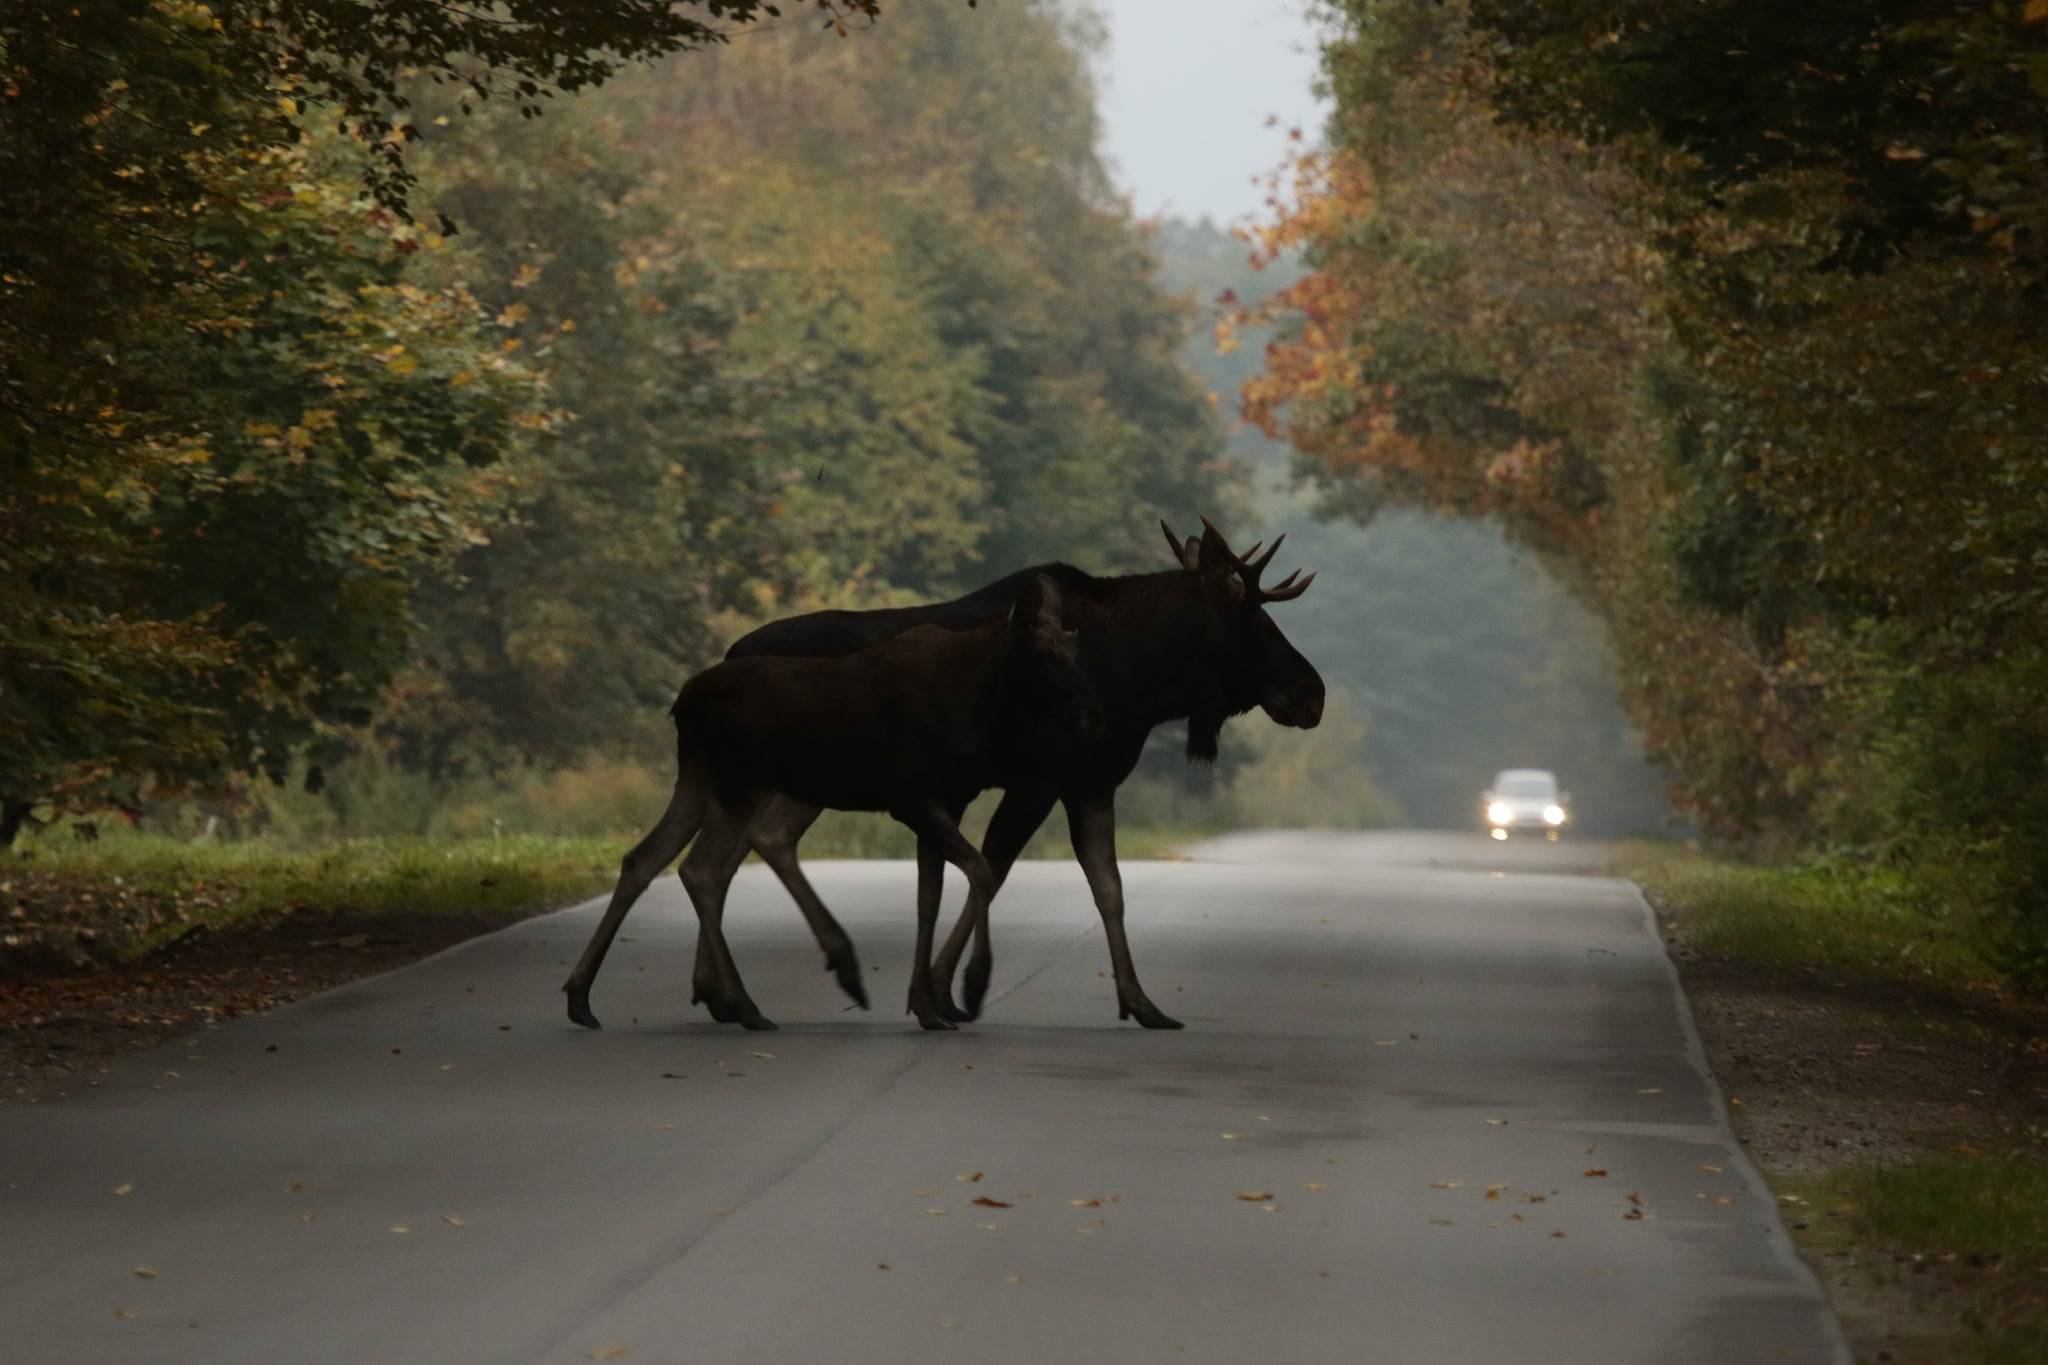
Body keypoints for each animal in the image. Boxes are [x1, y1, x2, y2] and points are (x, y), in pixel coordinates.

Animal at [565, 523, 1327, 1035]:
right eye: (1257, 622)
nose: (1312, 693)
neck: (1139, 678)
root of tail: (725, 653)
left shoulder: (1086, 782)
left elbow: (1103, 887)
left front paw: (1141, 1001)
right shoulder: (1037, 778)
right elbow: (992, 867)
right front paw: (949, 987)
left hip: (743, 782)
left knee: (679, 857)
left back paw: (687, 991)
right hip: (778, 782)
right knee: (732, 853)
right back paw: (755, 984)